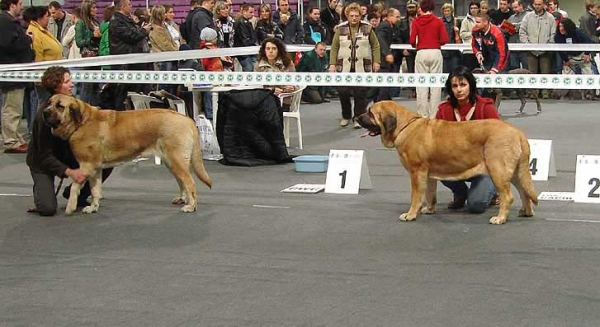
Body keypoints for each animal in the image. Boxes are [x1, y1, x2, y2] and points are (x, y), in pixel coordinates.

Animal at [42, 94, 211, 215]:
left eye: (60, 106)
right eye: (49, 102)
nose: (44, 112)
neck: (81, 122)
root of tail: (187, 119)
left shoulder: (86, 166)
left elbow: (74, 187)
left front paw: (70, 207)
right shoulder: (96, 169)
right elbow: (95, 190)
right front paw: (93, 207)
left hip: (176, 160)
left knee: (190, 182)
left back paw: (191, 206)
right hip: (171, 162)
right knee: (182, 182)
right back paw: (183, 199)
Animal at [356, 101, 540, 226]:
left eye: (370, 113)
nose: (356, 117)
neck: (404, 126)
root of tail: (518, 133)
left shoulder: (416, 172)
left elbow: (415, 196)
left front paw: (410, 214)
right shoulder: (428, 174)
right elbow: (429, 194)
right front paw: (429, 210)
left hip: (498, 171)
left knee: (508, 196)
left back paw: (500, 218)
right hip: (517, 172)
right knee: (524, 191)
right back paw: (526, 212)